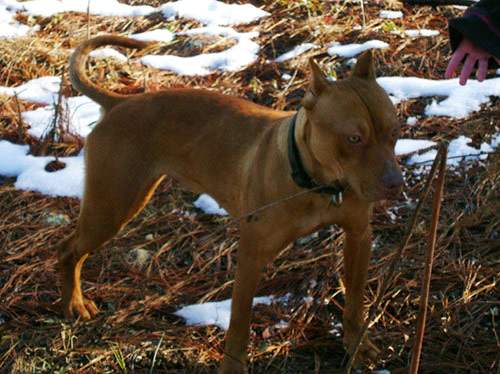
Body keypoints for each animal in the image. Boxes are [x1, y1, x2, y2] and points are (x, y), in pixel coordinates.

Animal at [58, 34, 404, 372]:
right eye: (353, 139)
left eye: (394, 132)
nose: (396, 184)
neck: (316, 184)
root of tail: (120, 102)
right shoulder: (251, 256)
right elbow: (239, 321)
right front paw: (233, 366)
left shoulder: (359, 237)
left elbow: (355, 301)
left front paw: (358, 346)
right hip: (111, 209)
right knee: (69, 251)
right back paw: (73, 302)